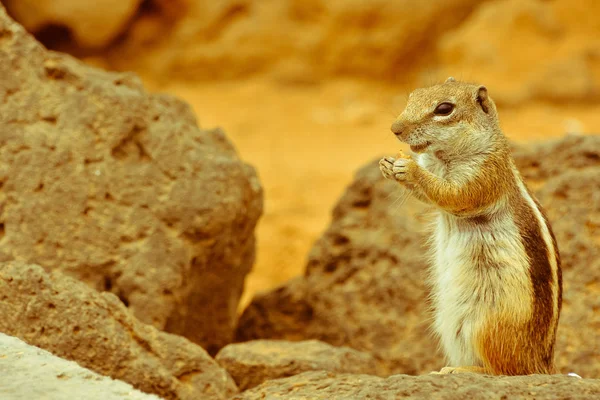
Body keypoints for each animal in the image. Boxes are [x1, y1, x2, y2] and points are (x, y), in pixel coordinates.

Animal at [380, 78, 564, 376]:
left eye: (444, 109)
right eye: (414, 95)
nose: (395, 129)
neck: (443, 159)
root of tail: (541, 364)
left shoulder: (484, 175)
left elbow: (455, 196)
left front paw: (410, 170)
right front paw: (387, 165)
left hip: (486, 327)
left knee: (504, 371)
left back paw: (463, 370)